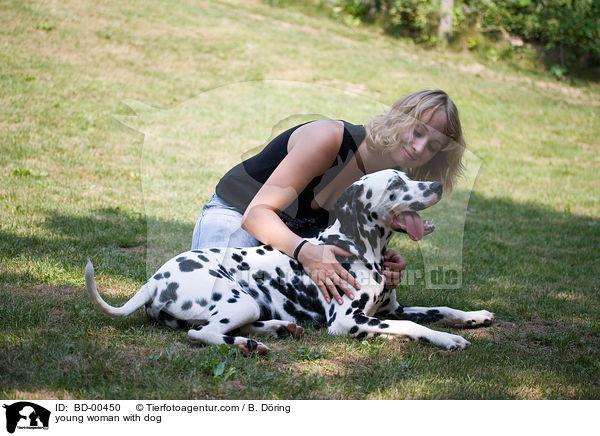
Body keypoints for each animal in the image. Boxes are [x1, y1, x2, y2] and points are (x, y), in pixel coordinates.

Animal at [86, 169, 494, 356]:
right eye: (395, 184)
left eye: (409, 176)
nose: (438, 186)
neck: (357, 248)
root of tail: (153, 280)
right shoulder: (349, 321)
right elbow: (414, 326)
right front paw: (448, 338)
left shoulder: (392, 308)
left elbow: (441, 309)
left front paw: (474, 317)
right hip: (238, 300)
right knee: (202, 333)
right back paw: (249, 344)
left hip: (249, 305)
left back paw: (280, 329)